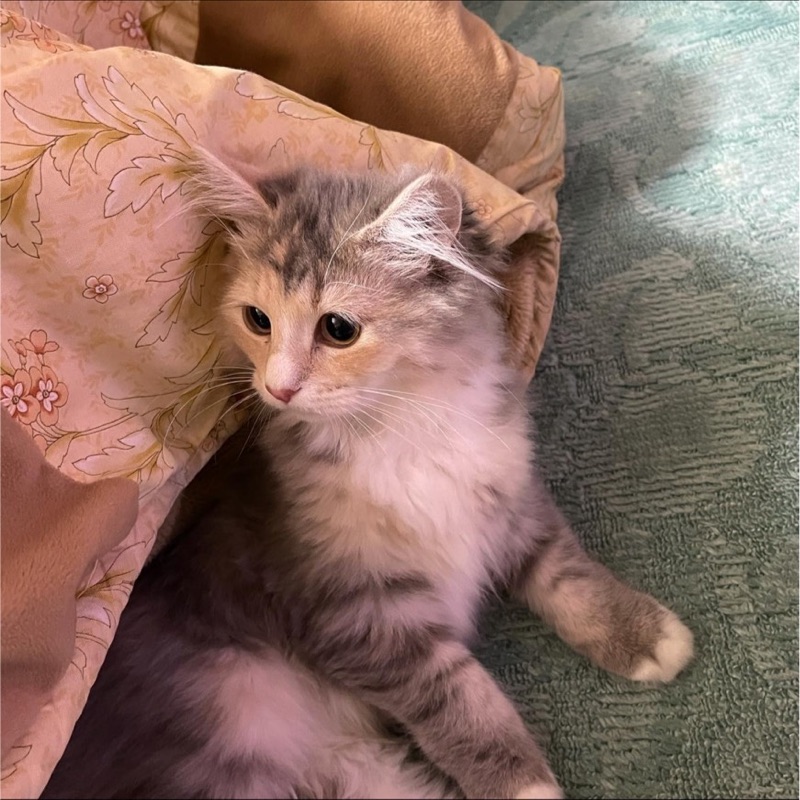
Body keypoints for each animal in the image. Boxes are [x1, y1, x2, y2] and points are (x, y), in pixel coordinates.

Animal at [43, 157, 694, 800]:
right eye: (258, 320)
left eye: (338, 329)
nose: (277, 388)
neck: (402, 430)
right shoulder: (362, 613)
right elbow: (462, 703)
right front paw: (524, 785)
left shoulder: (511, 498)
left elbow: (568, 577)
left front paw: (645, 637)